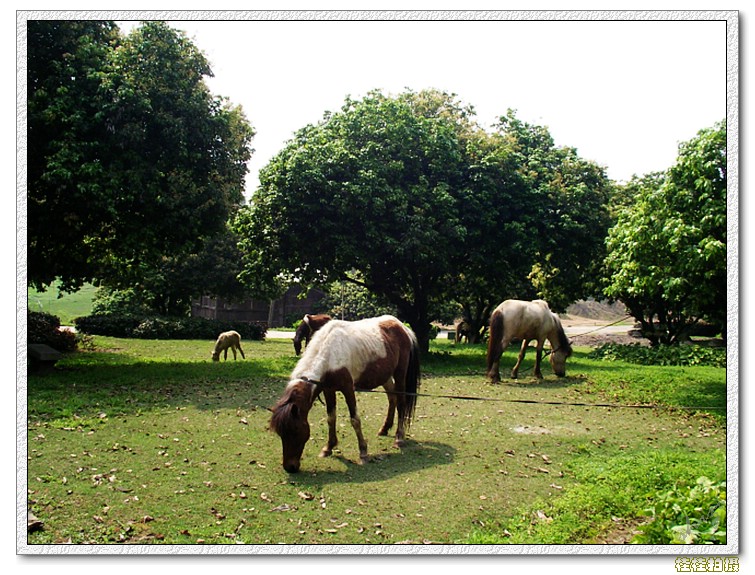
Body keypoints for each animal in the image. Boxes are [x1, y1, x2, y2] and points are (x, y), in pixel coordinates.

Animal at [268, 318, 422, 474]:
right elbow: (331, 418)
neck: (329, 355)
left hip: (400, 374)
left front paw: (363, 452)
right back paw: (384, 429)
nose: (290, 467)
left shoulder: (348, 389)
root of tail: (402, 327)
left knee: (401, 403)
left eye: (295, 431)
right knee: (392, 398)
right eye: (280, 433)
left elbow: (355, 420)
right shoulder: (328, 390)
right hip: (385, 377)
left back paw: (399, 438)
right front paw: (328, 447)